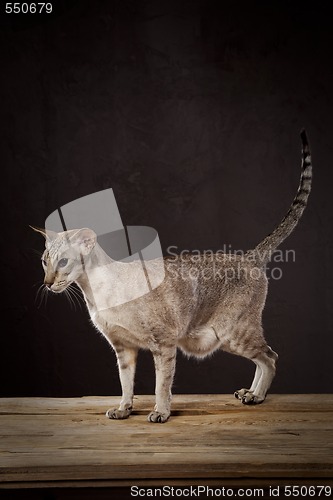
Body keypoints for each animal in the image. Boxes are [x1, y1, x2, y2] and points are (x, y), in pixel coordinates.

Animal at [31, 131, 312, 424]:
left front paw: (161, 412)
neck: (95, 292)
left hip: (233, 332)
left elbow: (161, 384)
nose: (47, 283)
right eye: (44, 261)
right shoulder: (123, 348)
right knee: (262, 359)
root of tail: (248, 257)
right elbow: (125, 383)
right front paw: (123, 409)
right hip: (231, 337)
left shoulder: (163, 343)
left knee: (270, 357)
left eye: (63, 262)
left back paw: (256, 396)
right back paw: (251, 392)